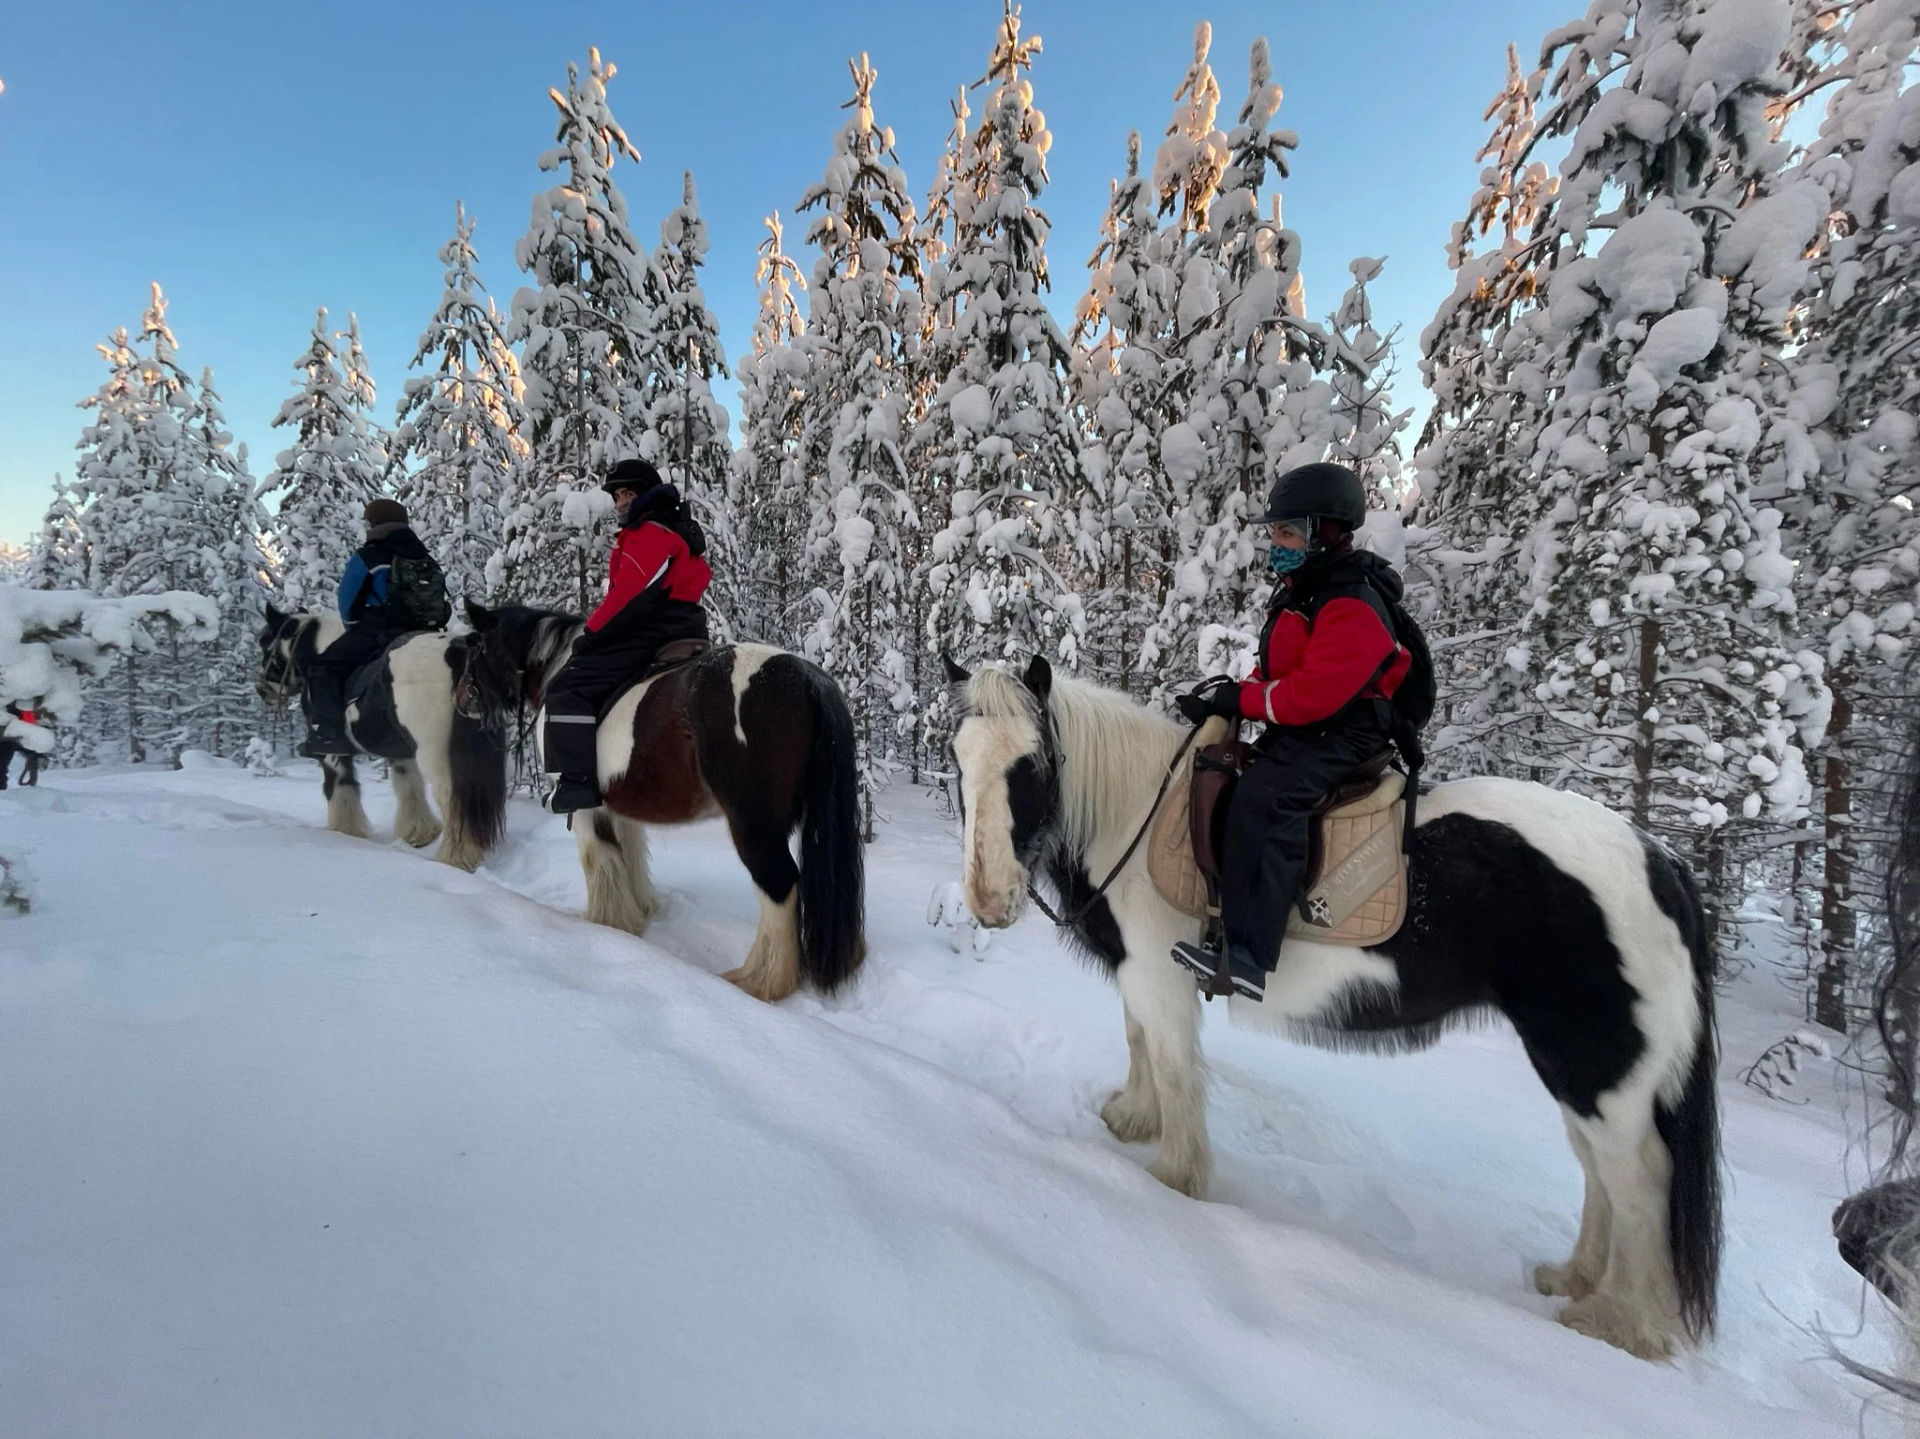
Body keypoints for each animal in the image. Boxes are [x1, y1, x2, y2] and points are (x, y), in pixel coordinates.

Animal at [257, 603, 510, 868]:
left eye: (265, 643)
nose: (261, 690)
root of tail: (458, 652)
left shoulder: (331, 754)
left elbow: (339, 788)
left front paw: (345, 832)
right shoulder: (401, 751)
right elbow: (408, 785)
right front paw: (418, 832)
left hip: (435, 753)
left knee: (453, 798)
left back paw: (454, 857)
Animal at [456, 599, 864, 999]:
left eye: (476, 646)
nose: (461, 700)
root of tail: (809, 680)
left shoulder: (582, 807)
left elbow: (598, 858)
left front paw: (606, 924)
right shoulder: (618, 805)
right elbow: (630, 855)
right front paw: (638, 911)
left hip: (754, 825)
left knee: (779, 886)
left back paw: (761, 981)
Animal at [952, 660, 1720, 1360]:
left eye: (1030, 765)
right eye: (959, 759)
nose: (988, 900)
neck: (1136, 818)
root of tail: (1662, 863)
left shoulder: (1160, 977)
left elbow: (1173, 1069)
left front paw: (1173, 1177)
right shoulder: (1143, 977)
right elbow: (1141, 1045)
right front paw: (1132, 1119)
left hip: (1596, 1065)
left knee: (1639, 1178)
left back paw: (1620, 1324)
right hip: (1578, 1067)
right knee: (1599, 1168)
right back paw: (1573, 1279)